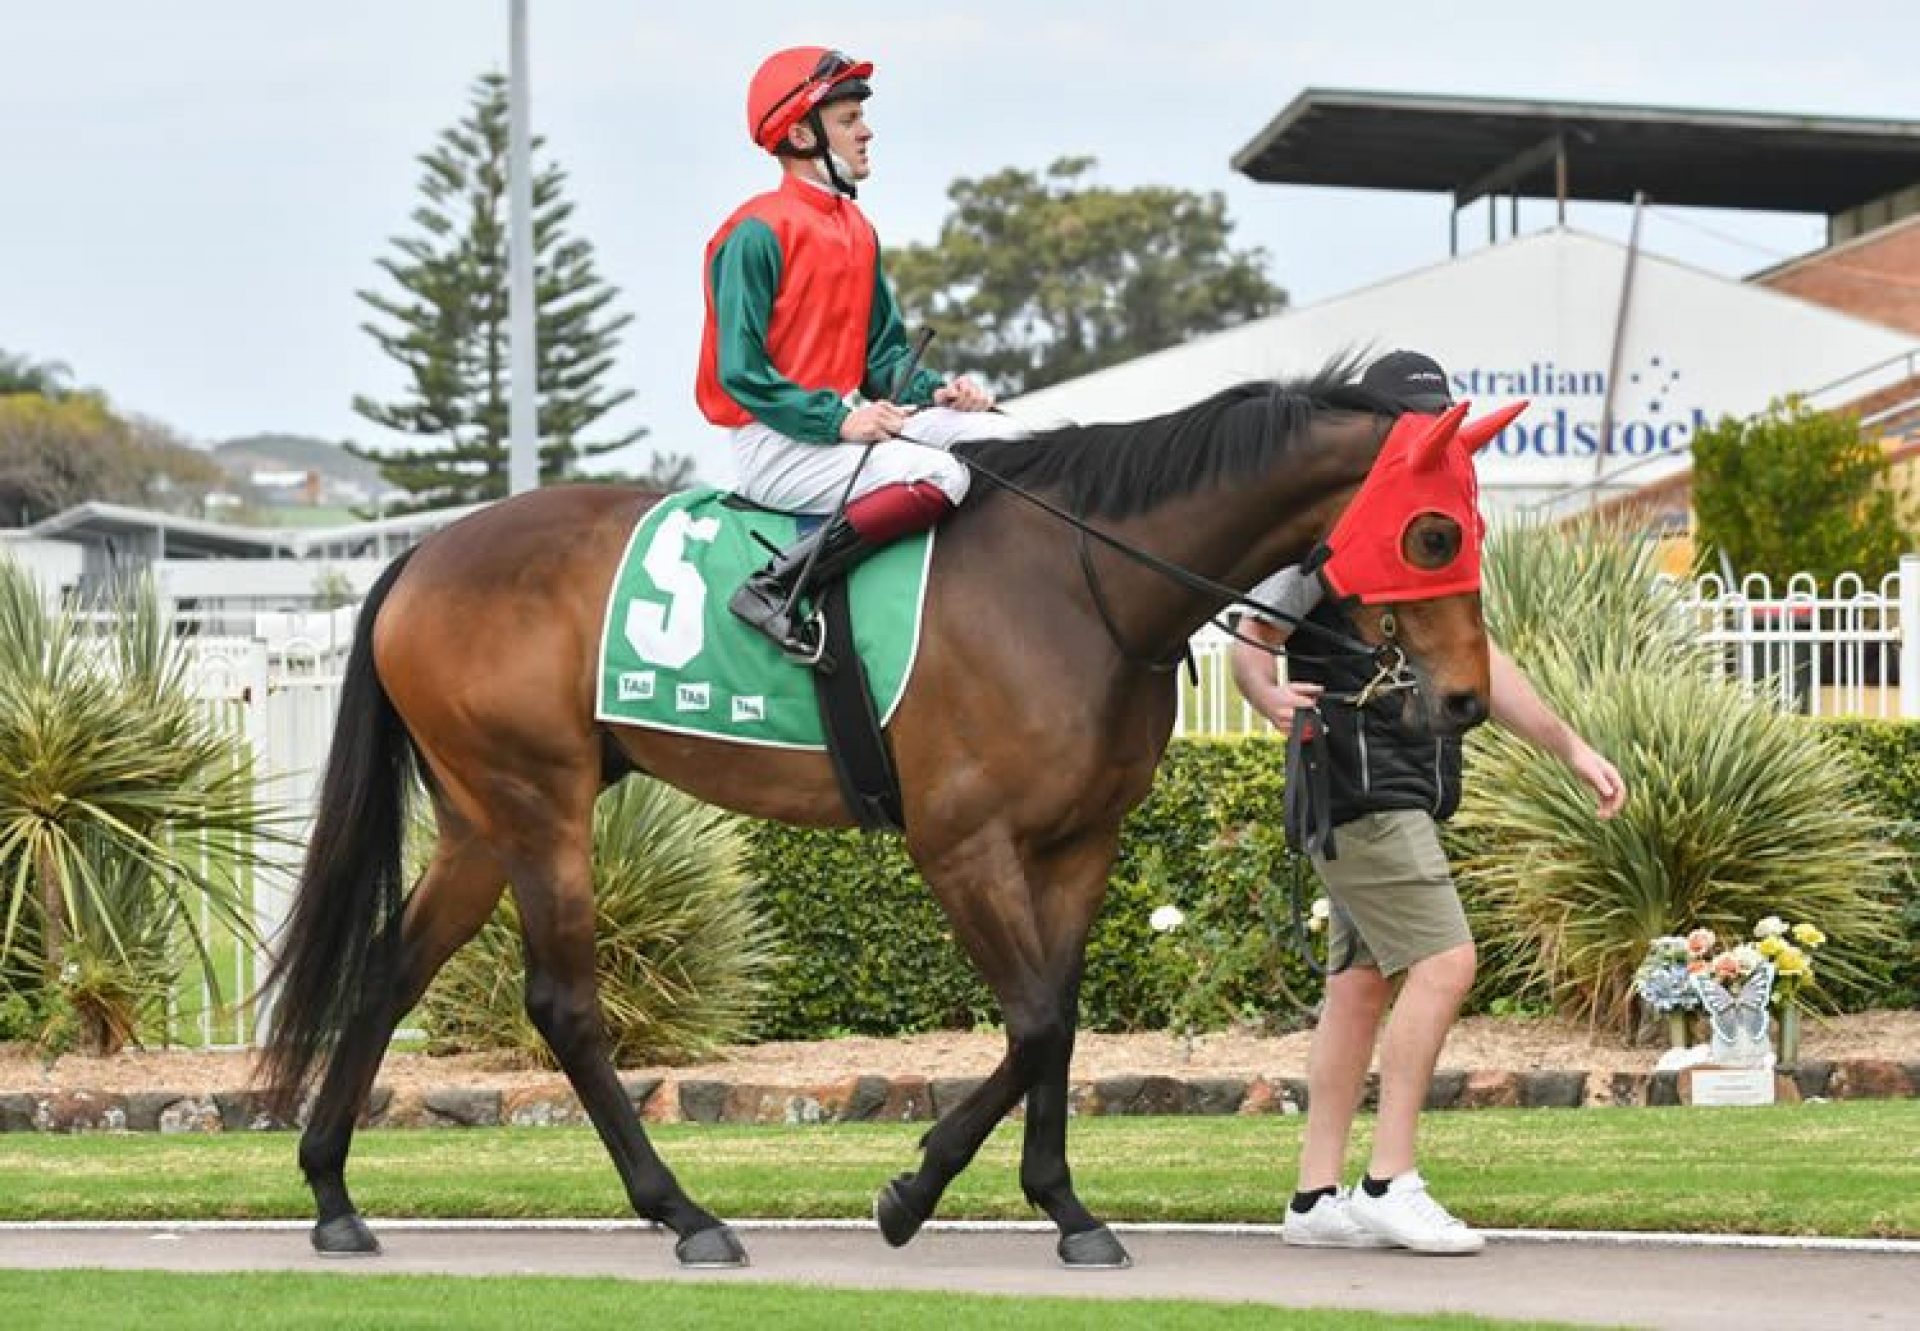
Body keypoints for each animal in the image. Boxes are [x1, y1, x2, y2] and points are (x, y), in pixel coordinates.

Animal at [263, 363, 1505, 1267]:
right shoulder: (959, 843)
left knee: (389, 969)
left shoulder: (1079, 842)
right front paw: (912, 1188)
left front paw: (1064, 1207)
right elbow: (1035, 1021)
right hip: (541, 806)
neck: (1080, 581)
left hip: (484, 819)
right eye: (1435, 534)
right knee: (564, 1004)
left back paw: (331, 1191)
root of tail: (424, 552)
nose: (1463, 700)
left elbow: (1057, 1017)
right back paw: (686, 1214)